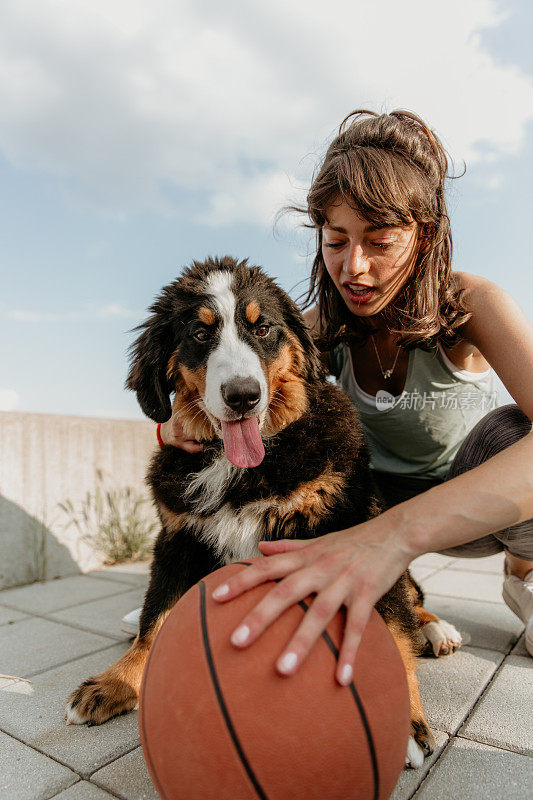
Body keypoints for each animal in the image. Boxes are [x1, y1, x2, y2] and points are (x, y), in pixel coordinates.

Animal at [65, 256, 458, 768]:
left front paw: (402, 723)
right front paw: (116, 681)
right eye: (199, 333)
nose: (242, 395)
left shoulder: (359, 536)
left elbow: (390, 629)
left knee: (414, 600)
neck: (241, 465)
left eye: (263, 328)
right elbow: (156, 618)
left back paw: (437, 630)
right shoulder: (178, 538)